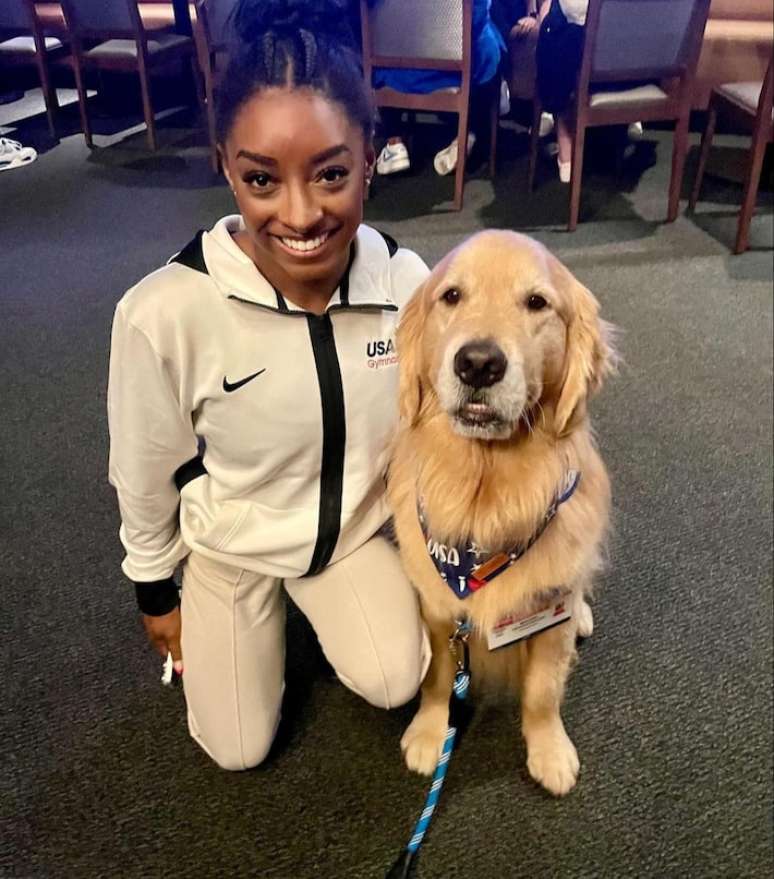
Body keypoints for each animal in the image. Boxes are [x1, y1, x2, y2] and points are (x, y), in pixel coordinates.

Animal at [392, 229, 616, 796]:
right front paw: (430, 733)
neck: (486, 495)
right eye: (451, 296)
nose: (477, 362)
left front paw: (549, 750)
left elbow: (542, 691)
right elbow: (437, 678)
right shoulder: (438, 606)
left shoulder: (549, 611)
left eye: (536, 302)